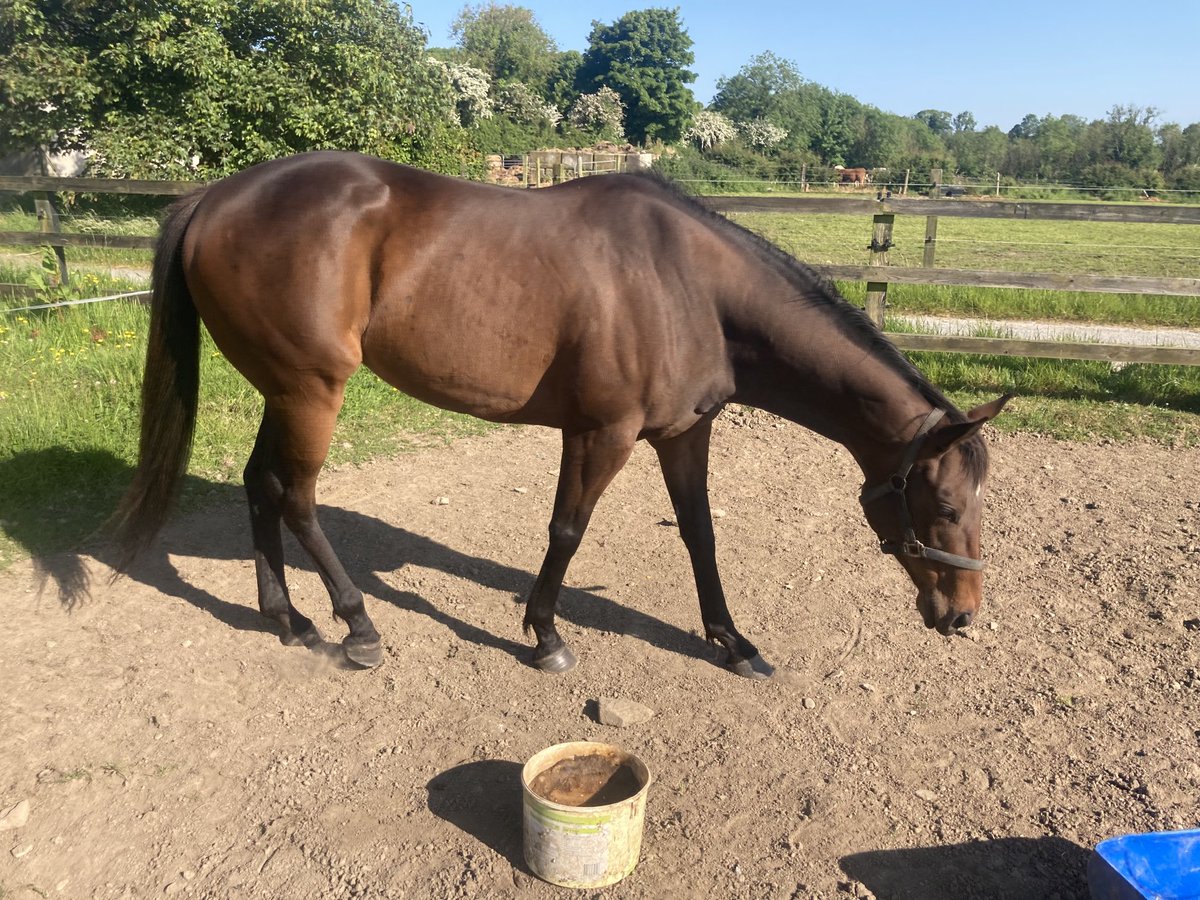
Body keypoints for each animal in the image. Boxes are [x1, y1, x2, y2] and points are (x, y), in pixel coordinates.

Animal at [111, 151, 1008, 678]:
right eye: (942, 503)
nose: (964, 616)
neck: (690, 285)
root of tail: (214, 196)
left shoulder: (684, 433)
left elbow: (700, 533)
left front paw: (732, 641)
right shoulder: (601, 434)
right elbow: (566, 532)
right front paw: (545, 636)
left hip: (285, 390)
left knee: (260, 485)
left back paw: (289, 619)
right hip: (311, 391)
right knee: (295, 495)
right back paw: (356, 625)